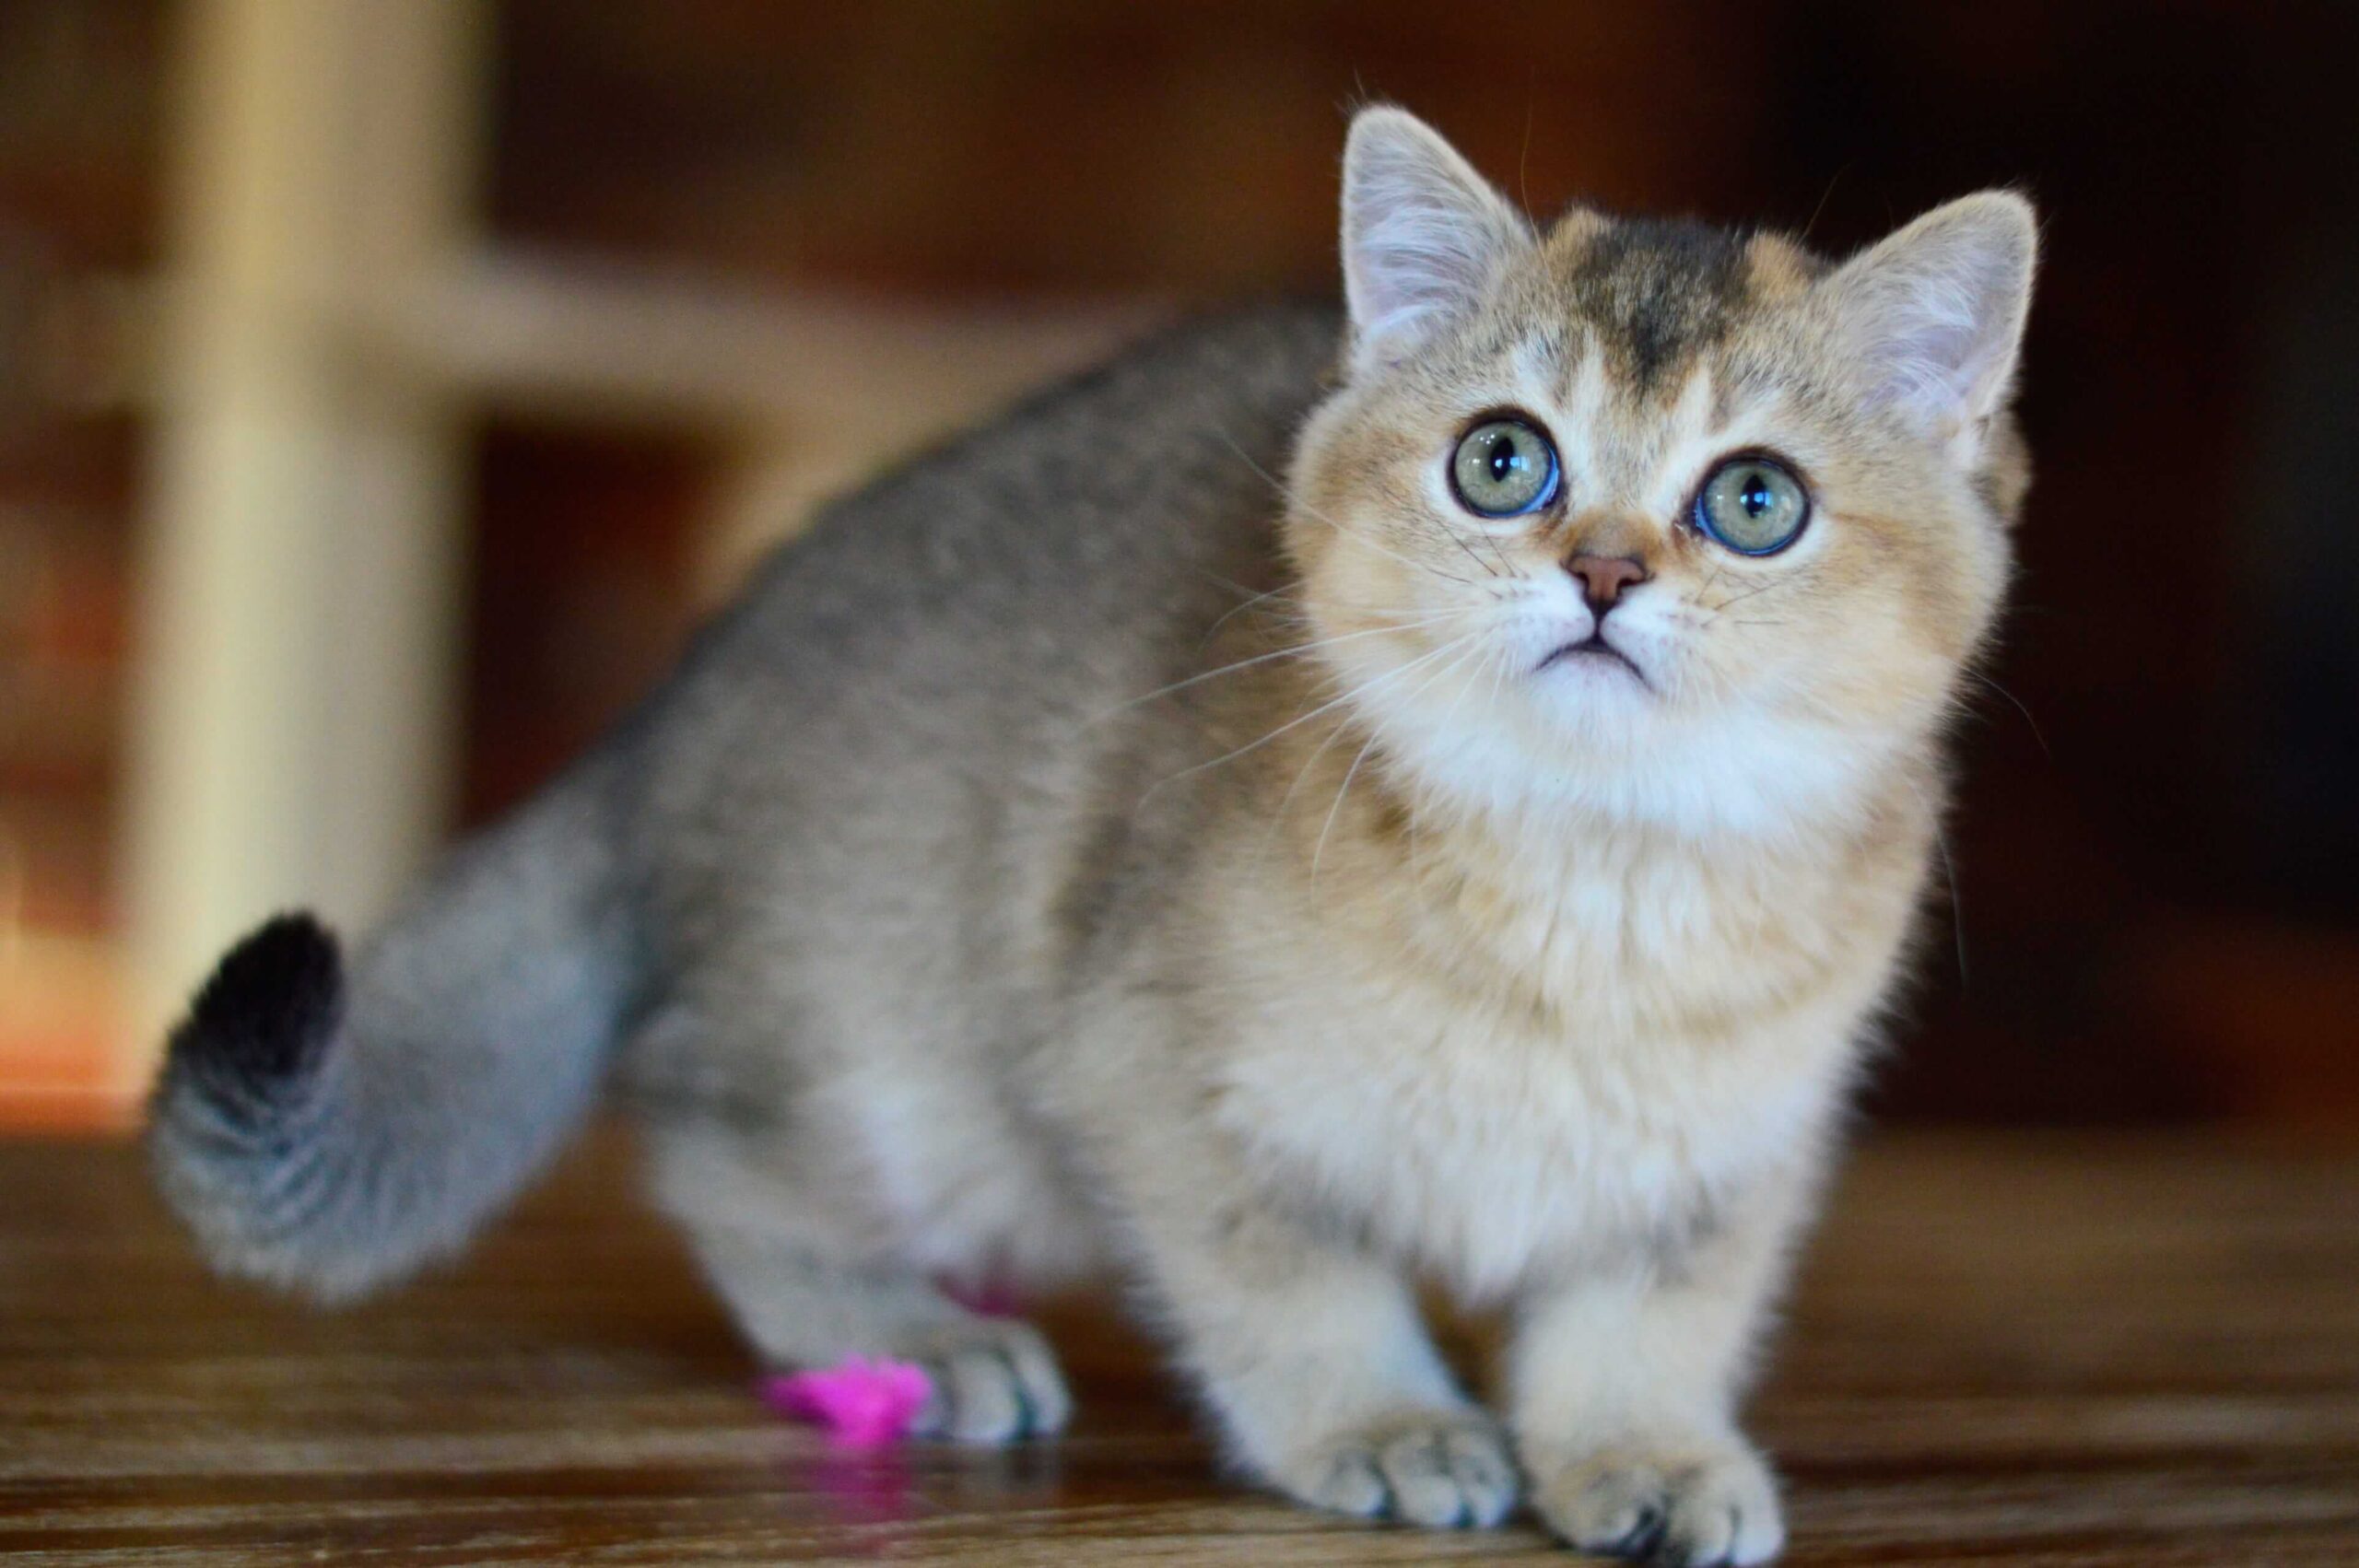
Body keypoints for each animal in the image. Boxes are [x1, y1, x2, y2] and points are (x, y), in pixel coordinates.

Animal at [149, 106, 2034, 1564]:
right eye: (1505, 461)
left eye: (1756, 501)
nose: (1604, 573)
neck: (1592, 889)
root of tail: (670, 706)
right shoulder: (1151, 1068)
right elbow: (1292, 1279)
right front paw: (1384, 1420)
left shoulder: (1729, 1158)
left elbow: (1648, 1322)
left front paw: (1639, 1451)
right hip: (906, 1081)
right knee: (703, 1138)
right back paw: (910, 1337)